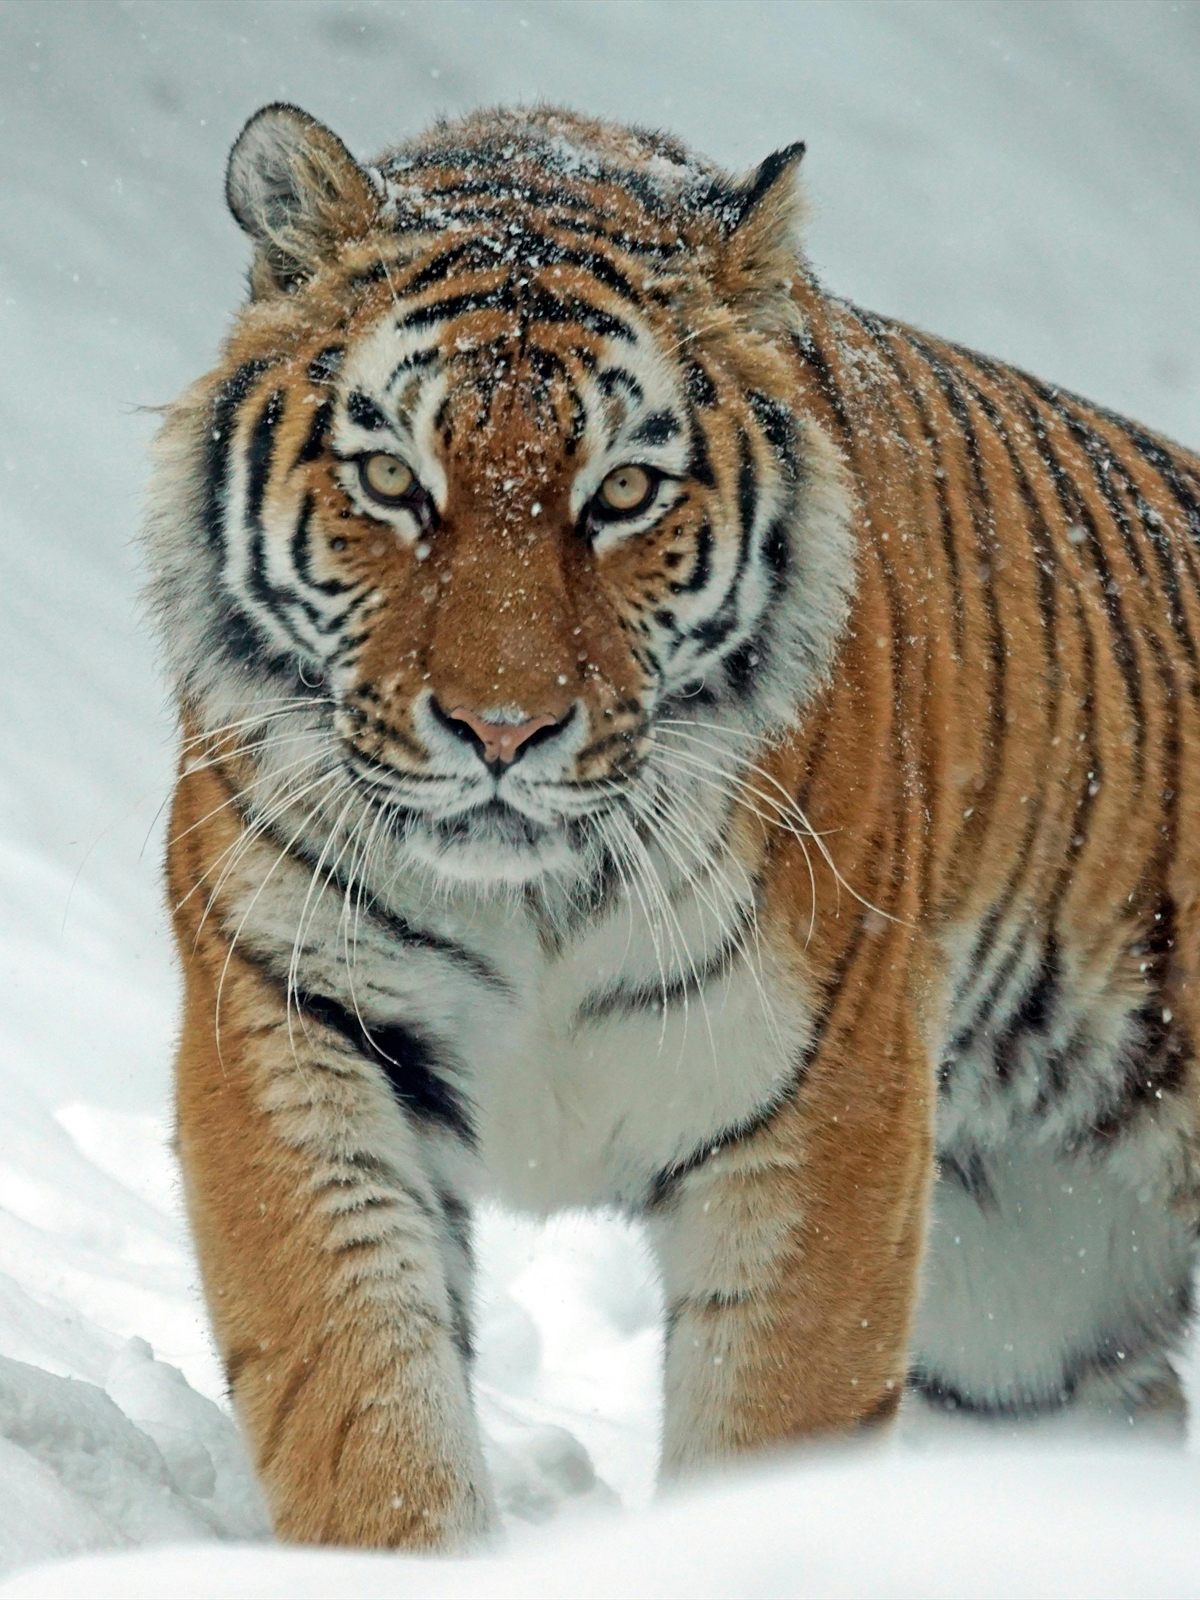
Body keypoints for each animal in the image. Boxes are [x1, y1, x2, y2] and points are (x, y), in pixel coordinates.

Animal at [144, 100, 1200, 1549]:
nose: (502, 731)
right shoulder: (295, 1022)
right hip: (1026, 1317)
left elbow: (771, 1434)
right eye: (393, 481)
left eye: (624, 495)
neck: (532, 901)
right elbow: (362, 1398)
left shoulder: (825, 1105)